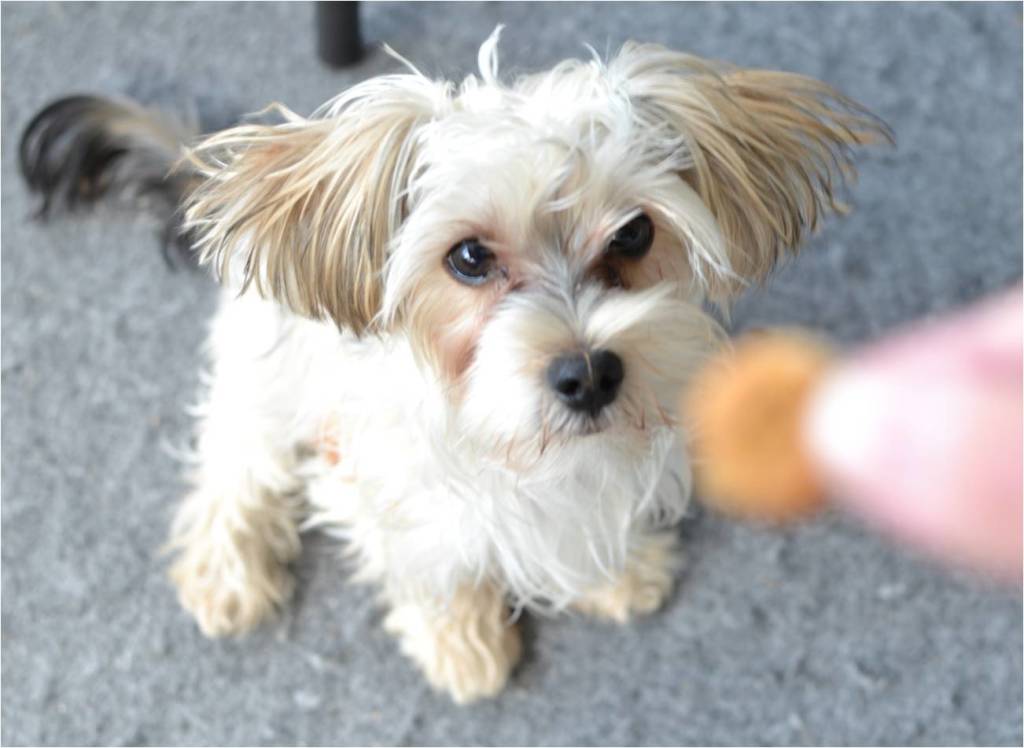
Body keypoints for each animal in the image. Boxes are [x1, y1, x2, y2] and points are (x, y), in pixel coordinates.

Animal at [19, 29, 884, 700]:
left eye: (635, 233)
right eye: (469, 257)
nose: (590, 375)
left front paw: (609, 572)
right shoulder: (379, 484)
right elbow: (429, 568)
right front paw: (461, 642)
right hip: (265, 380)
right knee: (232, 459)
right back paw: (228, 564)